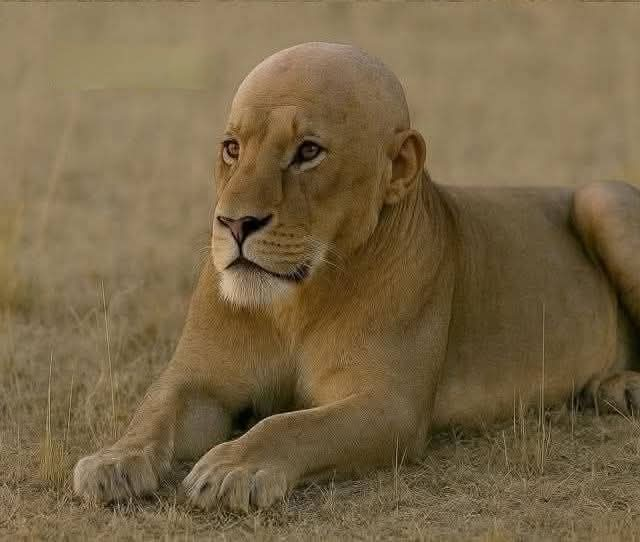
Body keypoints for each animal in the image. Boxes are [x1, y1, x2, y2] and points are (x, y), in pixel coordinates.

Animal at [73, 42, 640, 512]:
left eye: (308, 151)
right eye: (232, 147)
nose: (234, 223)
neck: (295, 303)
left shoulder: (391, 405)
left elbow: (292, 424)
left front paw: (233, 466)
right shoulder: (203, 380)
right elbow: (156, 410)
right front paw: (111, 462)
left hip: (600, 197)